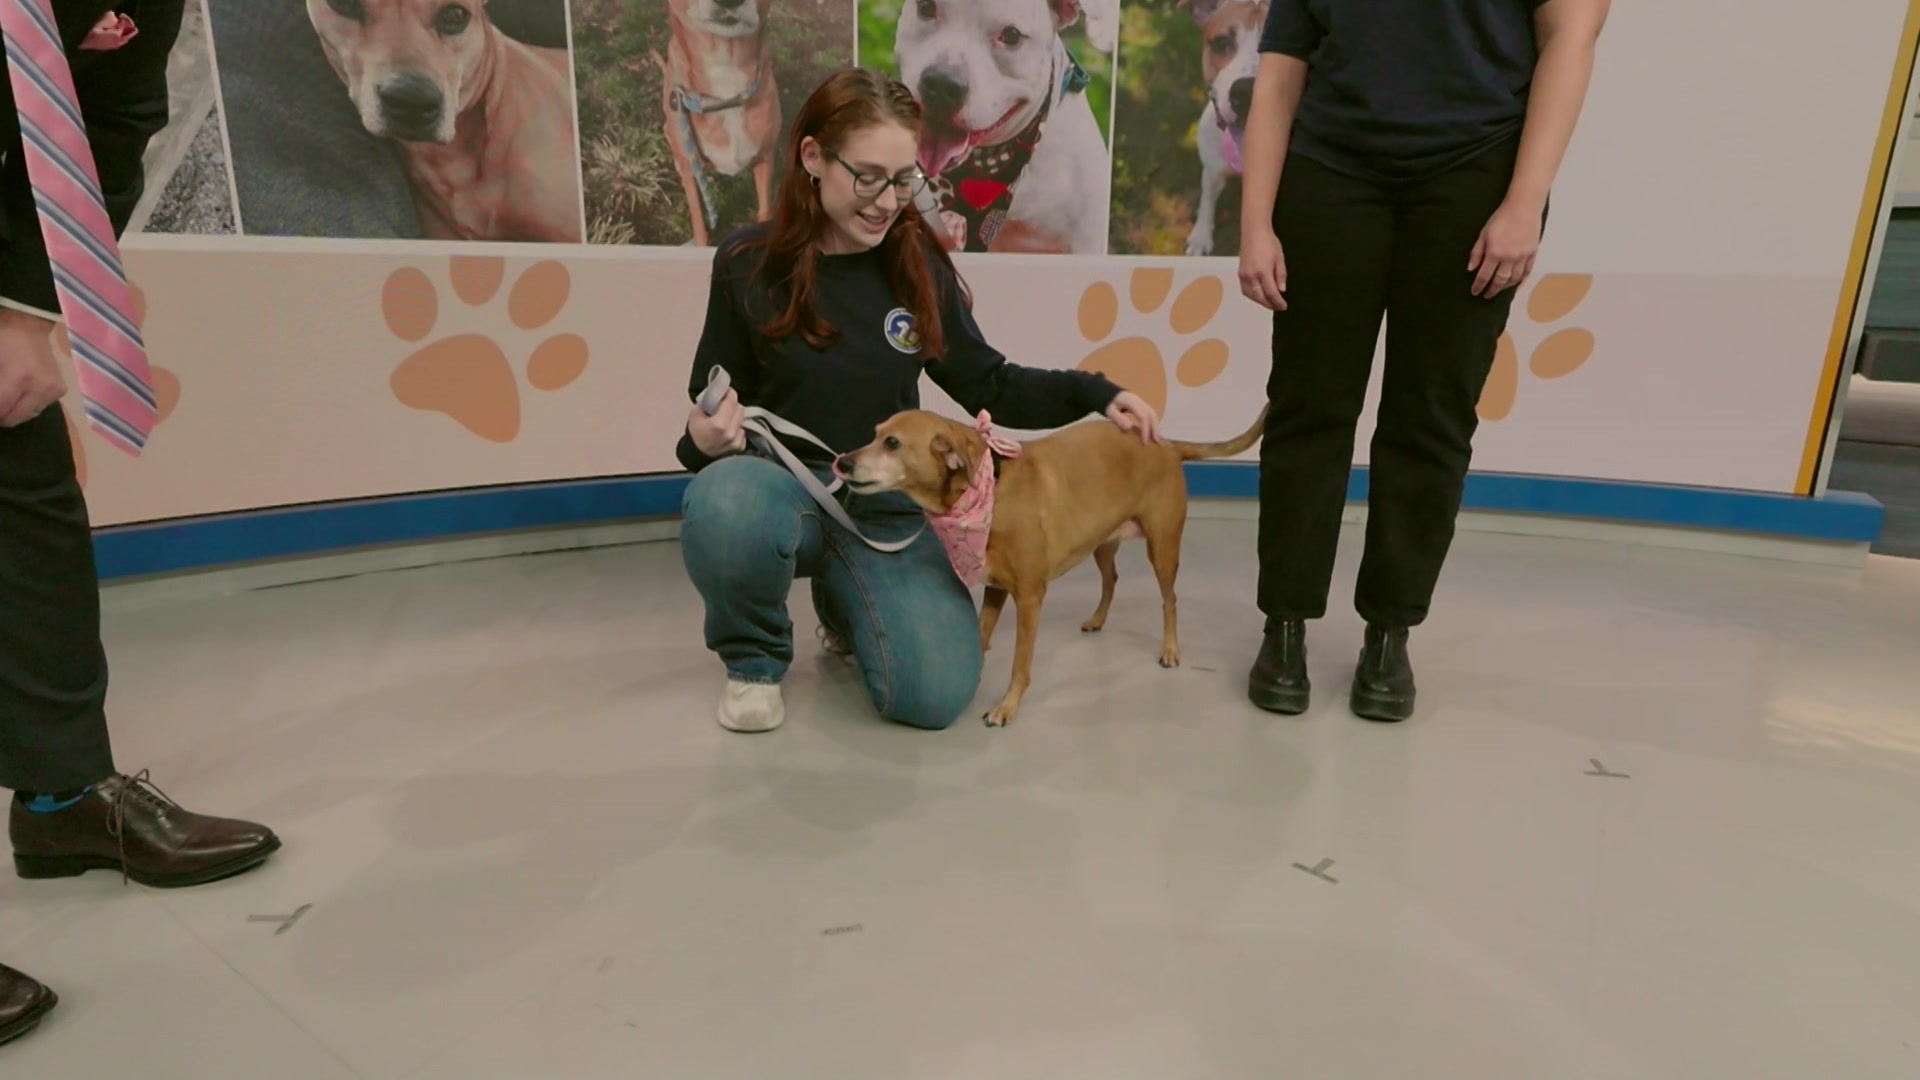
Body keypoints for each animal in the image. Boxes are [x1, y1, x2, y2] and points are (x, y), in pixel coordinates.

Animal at [836, 409, 1266, 727]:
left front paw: (1007, 707)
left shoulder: (1029, 597)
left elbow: (1020, 664)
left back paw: (1170, 649)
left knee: (1170, 599)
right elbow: (981, 635)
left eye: (892, 443)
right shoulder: (996, 588)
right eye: (875, 434)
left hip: (1162, 548)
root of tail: (1165, 443)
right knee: (1112, 579)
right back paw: (1097, 619)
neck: (989, 488)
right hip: (1101, 544)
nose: (842, 461)